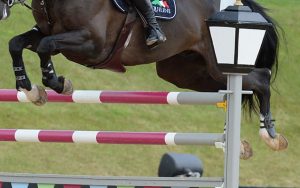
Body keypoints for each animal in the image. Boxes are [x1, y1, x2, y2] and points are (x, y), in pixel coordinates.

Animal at [1, 0, 290, 153]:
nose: (2, 12)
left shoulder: (92, 45)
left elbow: (44, 46)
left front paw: (57, 83)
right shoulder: (47, 31)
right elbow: (19, 43)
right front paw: (28, 88)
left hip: (214, 66)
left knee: (261, 79)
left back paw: (270, 134)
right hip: (185, 72)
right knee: (235, 90)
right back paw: (237, 141)